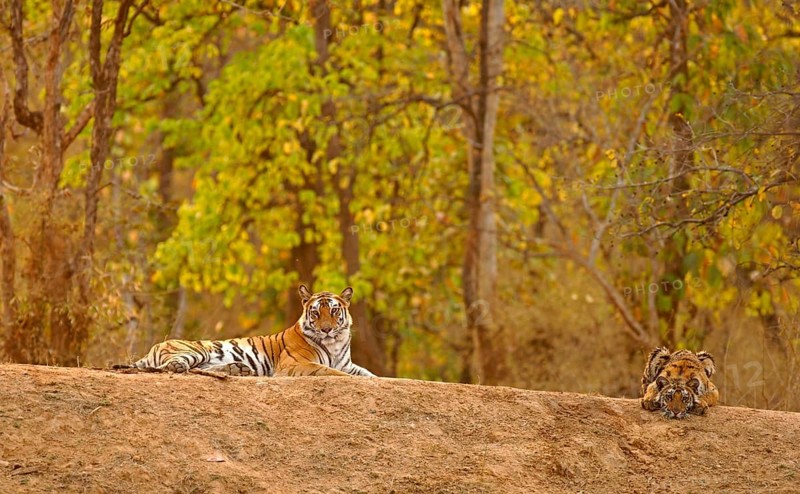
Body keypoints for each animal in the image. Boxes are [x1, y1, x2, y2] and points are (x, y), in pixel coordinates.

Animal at [117, 285, 375, 377]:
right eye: (316, 313)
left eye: (333, 311)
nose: (327, 329)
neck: (335, 343)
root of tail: (154, 347)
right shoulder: (295, 364)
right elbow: (331, 372)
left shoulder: (348, 364)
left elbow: (370, 375)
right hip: (194, 351)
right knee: (171, 366)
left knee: (200, 369)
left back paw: (237, 369)